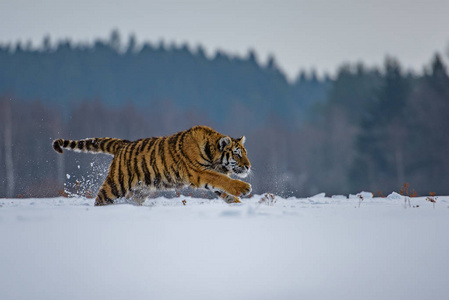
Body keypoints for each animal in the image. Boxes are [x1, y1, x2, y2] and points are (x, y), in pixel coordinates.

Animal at [52, 125, 252, 205]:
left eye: (246, 153)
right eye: (237, 154)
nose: (249, 166)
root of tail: (122, 144)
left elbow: (222, 188)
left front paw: (236, 203)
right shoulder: (199, 172)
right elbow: (223, 180)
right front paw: (244, 188)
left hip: (139, 191)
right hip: (115, 186)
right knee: (100, 199)